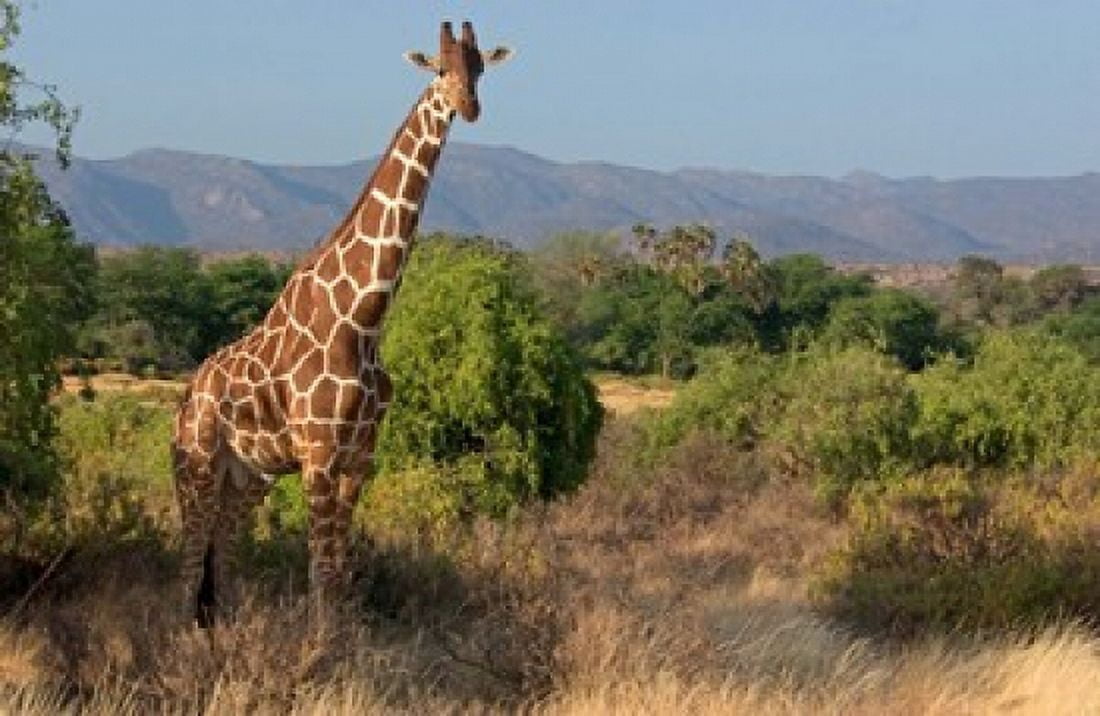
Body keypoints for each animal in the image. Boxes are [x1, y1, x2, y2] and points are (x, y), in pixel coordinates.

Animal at [172, 21, 512, 625]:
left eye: (479, 68)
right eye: (440, 69)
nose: (468, 106)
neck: (364, 319)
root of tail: (185, 400)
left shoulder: (359, 458)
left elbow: (341, 574)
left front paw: (343, 643)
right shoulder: (319, 455)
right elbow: (322, 573)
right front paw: (319, 649)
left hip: (247, 477)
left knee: (224, 557)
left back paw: (226, 635)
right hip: (198, 465)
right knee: (189, 564)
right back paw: (184, 641)